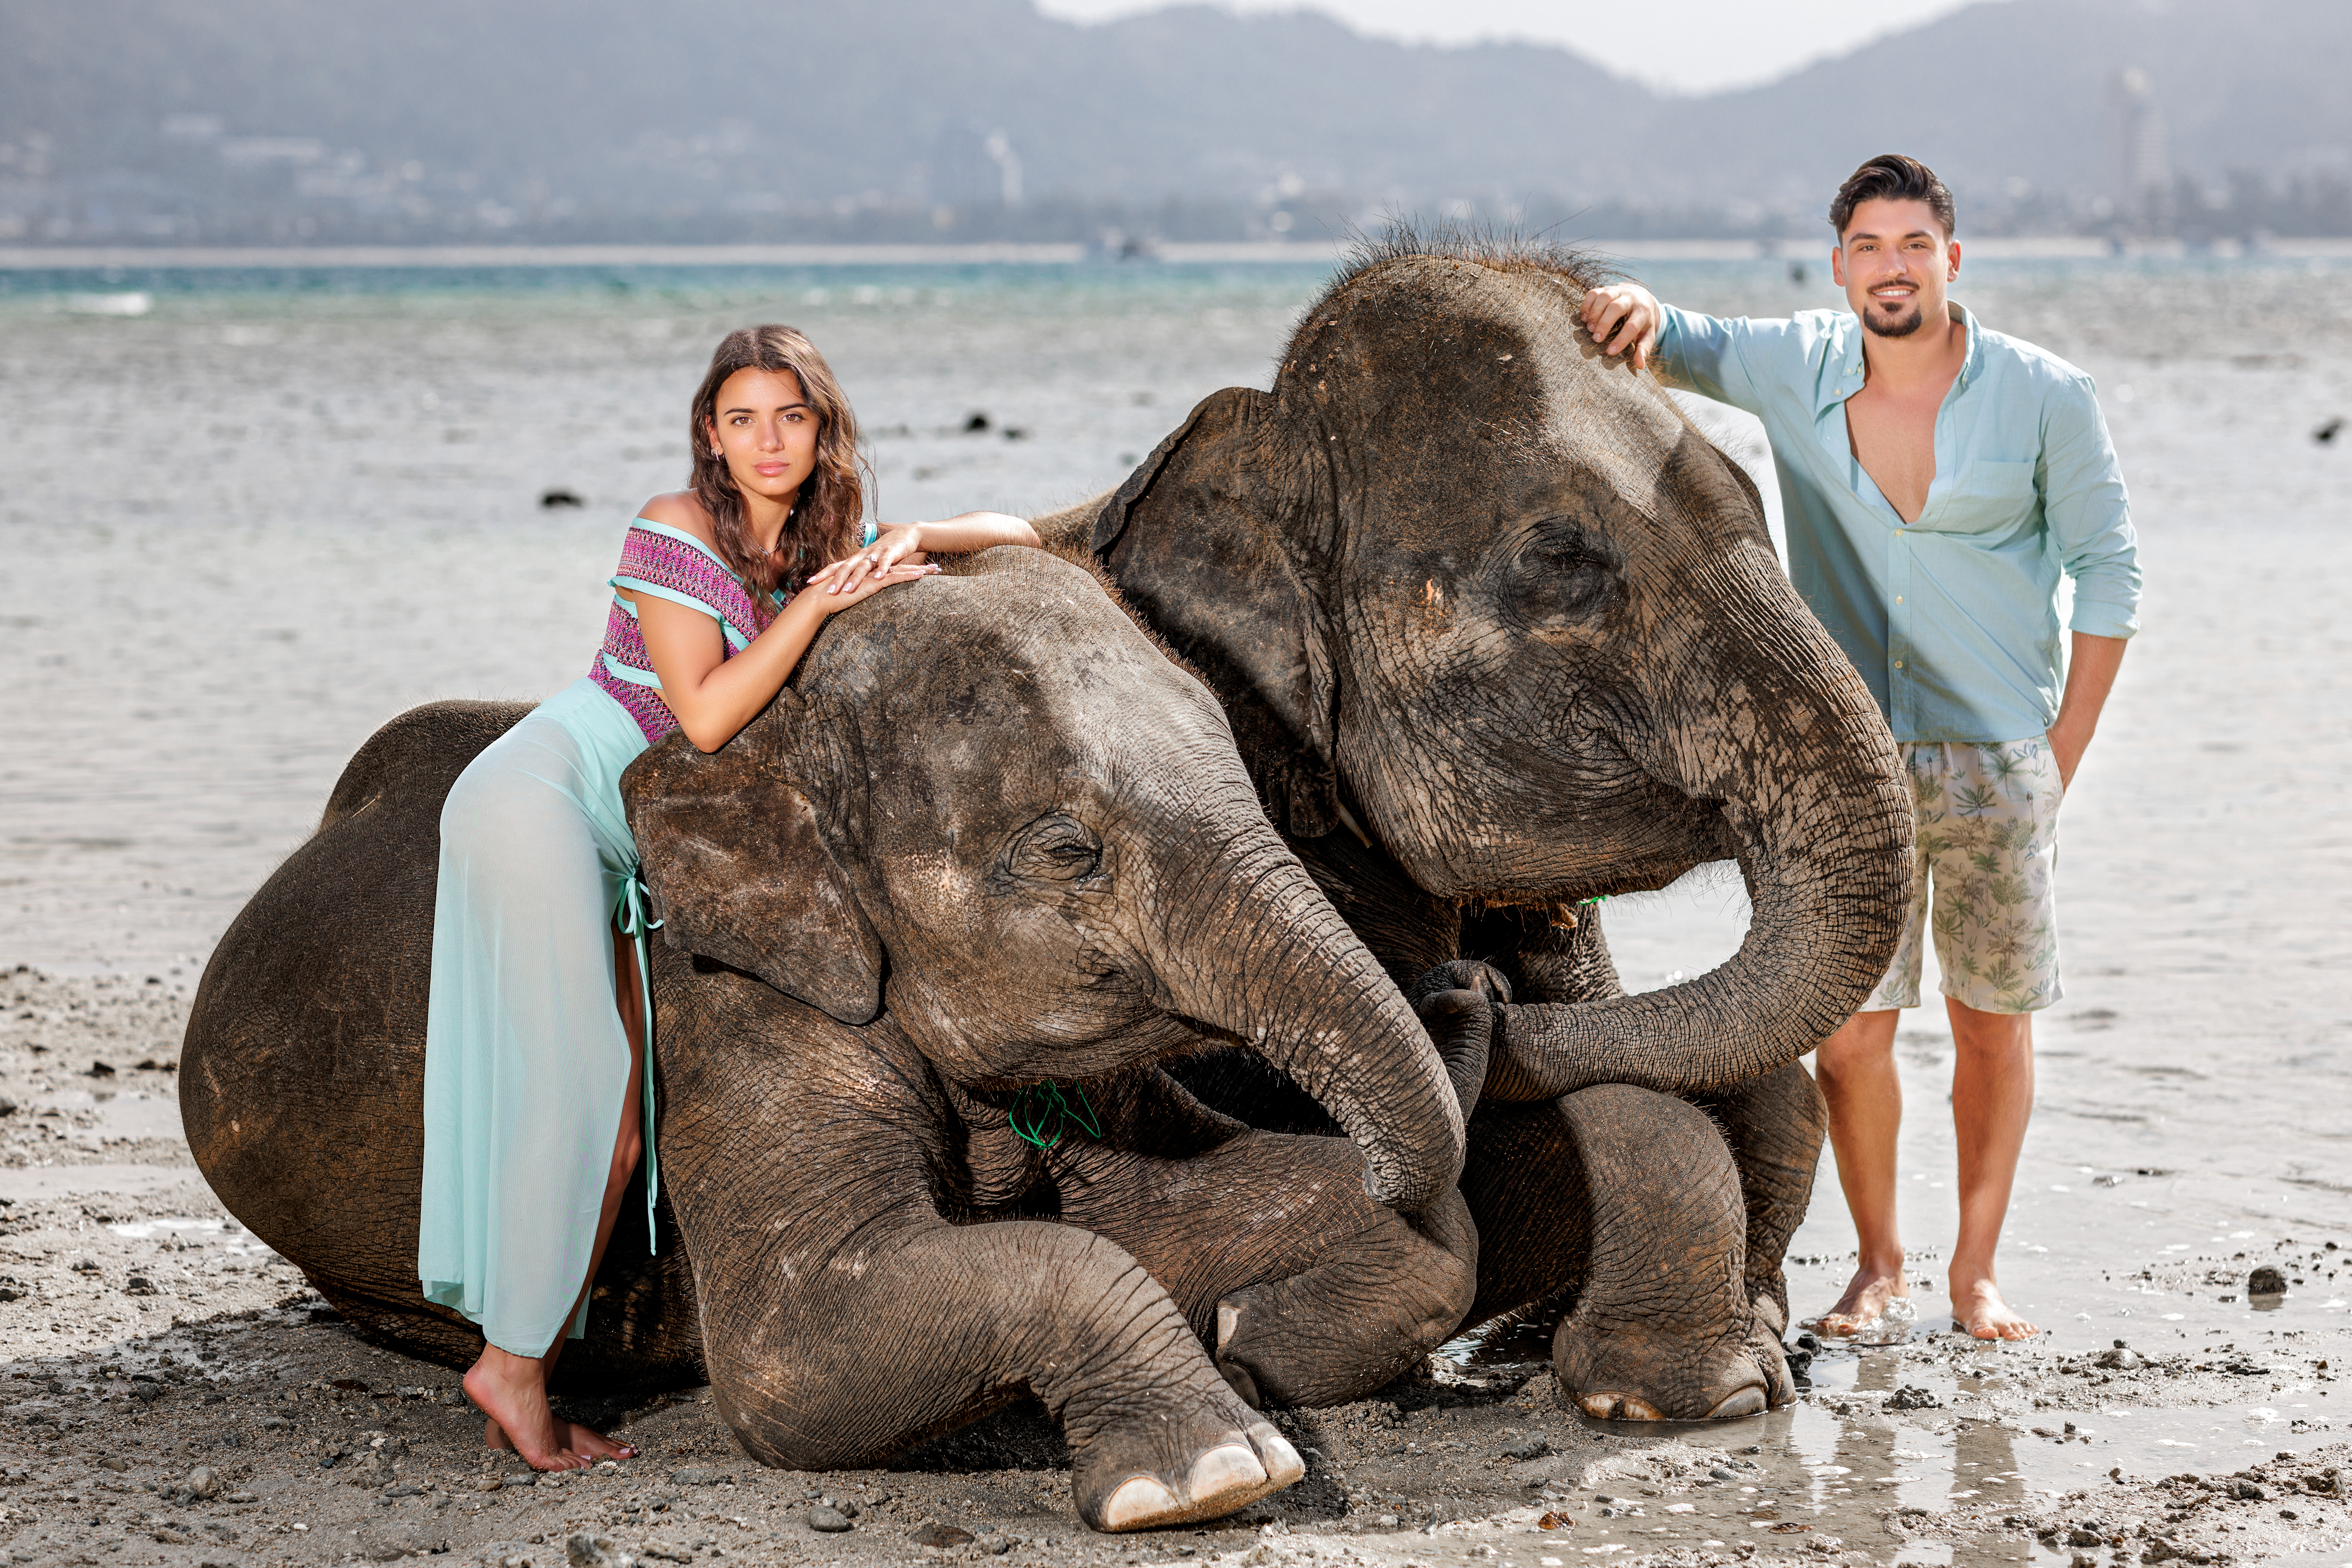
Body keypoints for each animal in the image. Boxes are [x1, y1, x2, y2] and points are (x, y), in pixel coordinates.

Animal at [181, 542, 1484, 1532]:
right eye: (1069, 849)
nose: (1465, 981)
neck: (776, 734)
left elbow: (1265, 1204)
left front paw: (1247, 1336)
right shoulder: (726, 1019)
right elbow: (796, 1354)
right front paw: (1210, 1469)